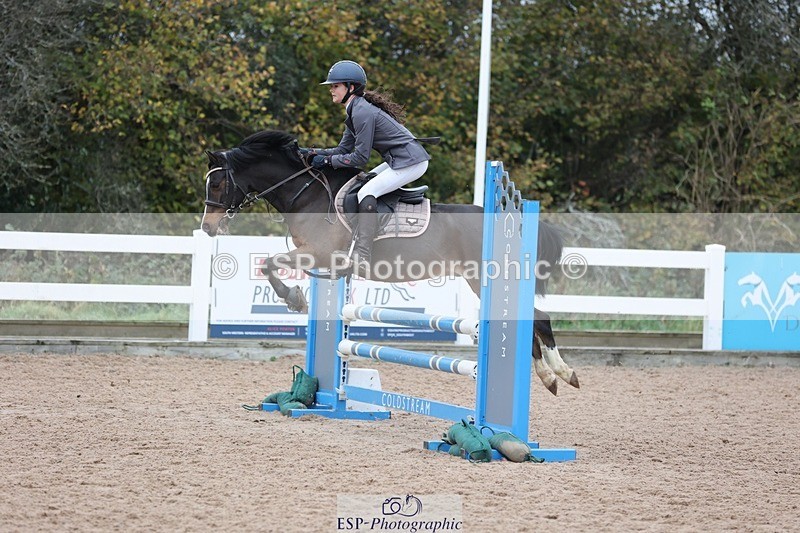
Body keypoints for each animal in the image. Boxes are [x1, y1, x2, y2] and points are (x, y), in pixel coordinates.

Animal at [200, 130, 579, 394]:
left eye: (217, 183)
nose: (208, 227)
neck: (308, 193)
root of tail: (510, 223)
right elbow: (269, 264)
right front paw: (295, 297)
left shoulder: (319, 253)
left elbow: (268, 263)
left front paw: (293, 298)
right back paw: (551, 377)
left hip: (485, 277)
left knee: (539, 318)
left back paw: (560, 374)